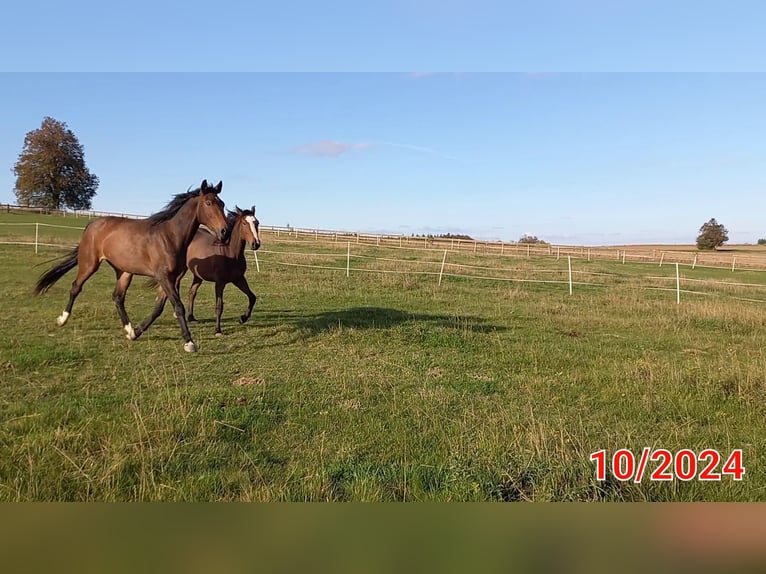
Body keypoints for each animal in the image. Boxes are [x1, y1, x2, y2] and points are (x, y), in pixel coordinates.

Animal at [33, 180, 230, 354]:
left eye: (222, 203)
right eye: (209, 203)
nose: (225, 232)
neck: (170, 237)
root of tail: (92, 224)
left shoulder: (170, 278)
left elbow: (158, 309)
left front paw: (136, 332)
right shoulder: (163, 277)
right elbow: (178, 306)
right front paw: (189, 343)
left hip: (124, 272)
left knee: (118, 297)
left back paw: (129, 330)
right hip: (89, 264)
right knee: (76, 287)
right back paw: (62, 319)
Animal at [185, 206, 260, 336]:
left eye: (257, 223)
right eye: (244, 223)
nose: (256, 244)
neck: (229, 253)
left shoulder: (239, 279)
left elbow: (252, 297)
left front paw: (242, 318)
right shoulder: (220, 283)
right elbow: (219, 306)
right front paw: (217, 330)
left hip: (198, 276)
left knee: (192, 292)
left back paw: (191, 317)